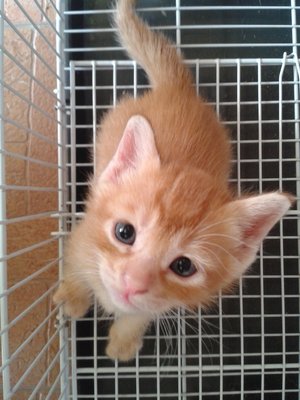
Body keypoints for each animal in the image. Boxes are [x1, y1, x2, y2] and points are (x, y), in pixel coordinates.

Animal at [52, 0, 292, 362]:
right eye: (124, 232)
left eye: (183, 266)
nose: (132, 282)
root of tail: (178, 89)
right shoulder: (81, 238)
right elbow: (76, 266)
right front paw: (73, 296)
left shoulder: (162, 302)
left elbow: (142, 312)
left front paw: (125, 337)